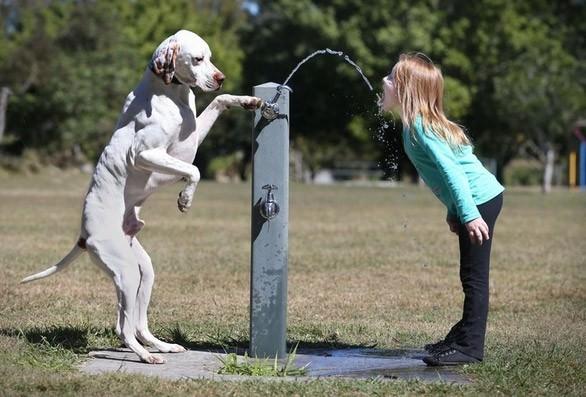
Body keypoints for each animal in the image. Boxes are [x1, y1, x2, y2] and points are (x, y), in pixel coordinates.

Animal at [20, 29, 262, 364]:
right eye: (197, 59)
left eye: (210, 57)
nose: (221, 77)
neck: (170, 93)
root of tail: (84, 235)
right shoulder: (148, 153)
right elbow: (195, 170)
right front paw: (185, 199)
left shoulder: (190, 140)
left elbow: (218, 101)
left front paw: (247, 100)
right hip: (126, 273)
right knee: (123, 327)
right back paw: (146, 356)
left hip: (143, 272)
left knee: (137, 323)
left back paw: (161, 346)